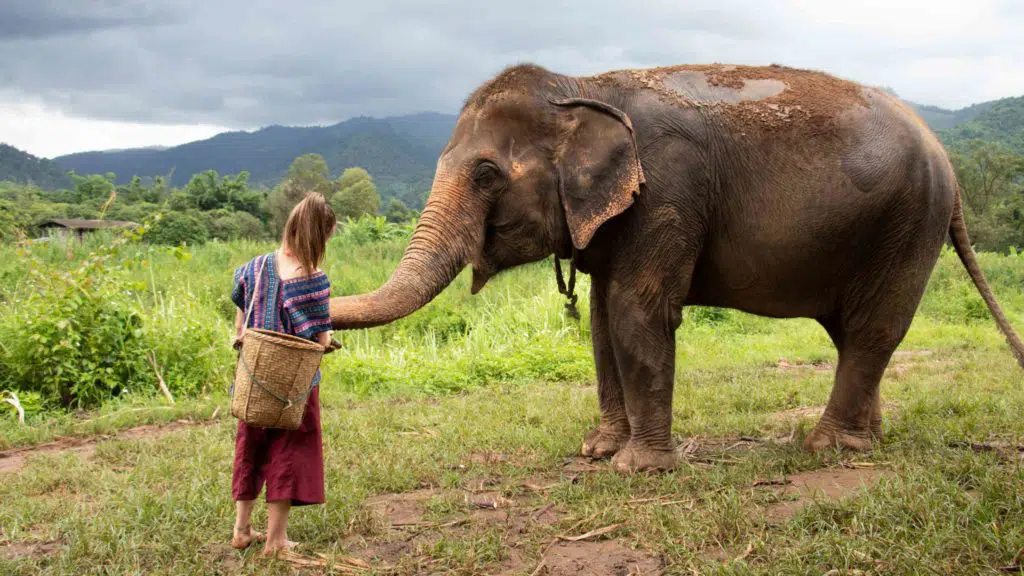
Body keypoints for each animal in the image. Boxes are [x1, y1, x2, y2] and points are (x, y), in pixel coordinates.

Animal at [325, 61, 1024, 471]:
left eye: (488, 174)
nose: (322, 340)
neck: (583, 88)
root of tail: (946, 160)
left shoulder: (669, 187)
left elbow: (637, 314)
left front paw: (638, 469)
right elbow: (601, 322)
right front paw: (597, 451)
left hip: (908, 223)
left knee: (875, 328)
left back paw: (830, 448)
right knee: (853, 334)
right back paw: (868, 439)